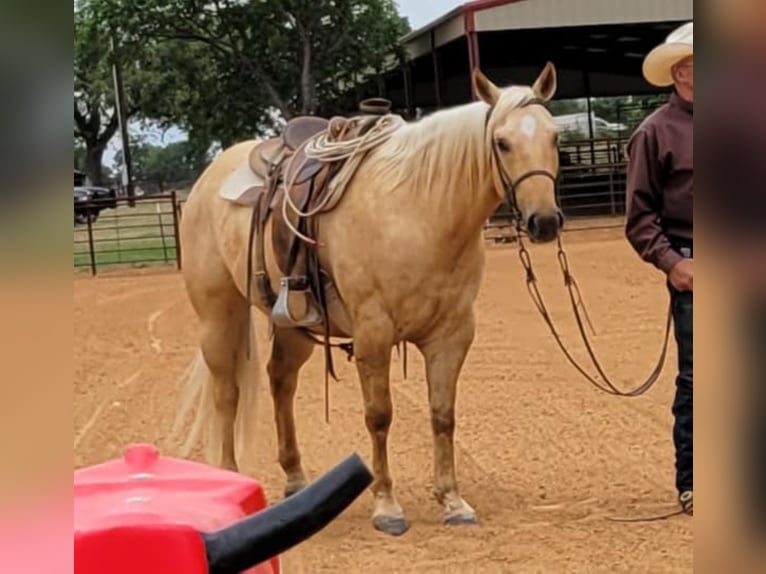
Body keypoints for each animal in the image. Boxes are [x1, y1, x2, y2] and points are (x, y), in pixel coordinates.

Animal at [178, 62, 564, 536]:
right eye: (502, 142)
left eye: (554, 137)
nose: (544, 221)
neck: (419, 212)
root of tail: (210, 177)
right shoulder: (373, 333)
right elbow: (379, 415)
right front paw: (387, 507)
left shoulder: (452, 335)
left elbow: (443, 415)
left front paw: (453, 501)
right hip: (219, 314)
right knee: (226, 393)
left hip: (295, 325)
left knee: (280, 382)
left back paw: (296, 480)